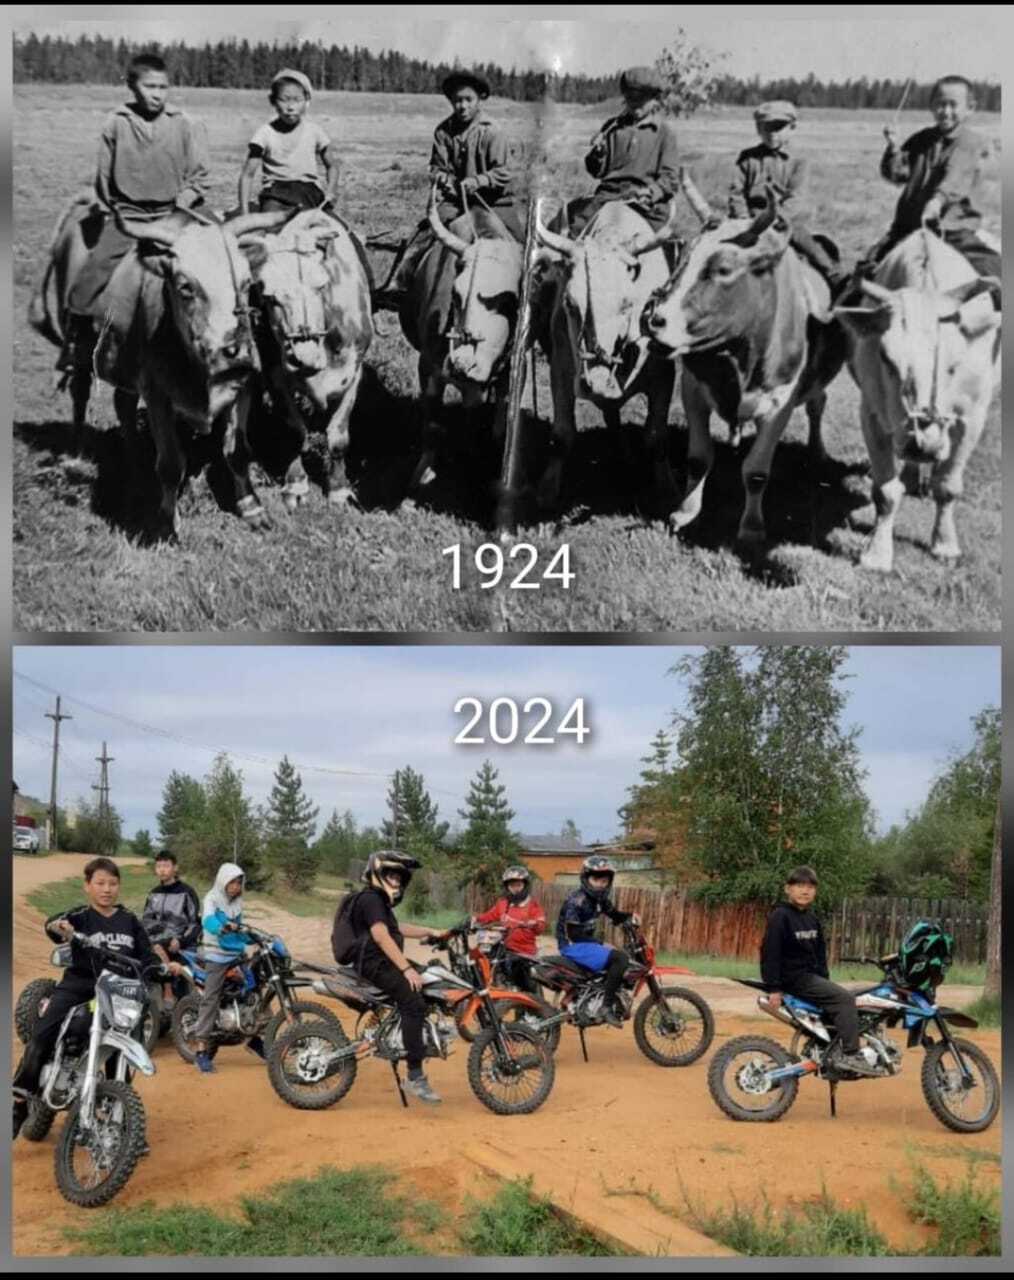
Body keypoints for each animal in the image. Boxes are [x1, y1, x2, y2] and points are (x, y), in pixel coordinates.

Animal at [233, 209, 371, 509]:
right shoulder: (275, 376)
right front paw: (296, 485)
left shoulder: (353, 375)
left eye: (321, 286)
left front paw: (339, 489)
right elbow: (295, 432)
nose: (303, 357)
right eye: (269, 295)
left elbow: (338, 437)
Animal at [396, 189, 522, 494]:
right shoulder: (428, 367)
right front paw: (424, 473)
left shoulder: (478, 384)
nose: (461, 364)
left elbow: (474, 421)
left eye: (509, 303)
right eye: (455, 293)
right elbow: (432, 425)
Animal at [530, 199, 681, 509]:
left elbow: (656, 437)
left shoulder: (664, 376)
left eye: (627, 303)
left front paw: (668, 490)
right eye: (570, 303)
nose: (596, 381)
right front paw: (547, 490)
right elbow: (562, 435)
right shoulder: (561, 370)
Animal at [642, 177, 850, 563]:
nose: (655, 321)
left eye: (723, 270)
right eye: (683, 258)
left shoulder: (779, 406)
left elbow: (755, 472)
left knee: (818, 404)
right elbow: (698, 458)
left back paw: (817, 450)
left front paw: (751, 529)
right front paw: (685, 512)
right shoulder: (694, 390)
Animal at [829, 227, 998, 573]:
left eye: (954, 364)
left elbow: (947, 486)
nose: (925, 443)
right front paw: (877, 554)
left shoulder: (972, 418)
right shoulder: (872, 415)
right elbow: (885, 491)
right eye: (885, 357)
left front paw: (945, 545)